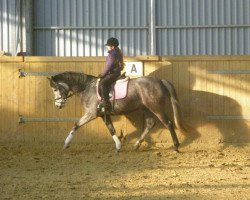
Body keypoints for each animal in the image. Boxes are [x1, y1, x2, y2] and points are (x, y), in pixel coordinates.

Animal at [48, 71, 186, 152]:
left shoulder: (91, 114)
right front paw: (118, 146)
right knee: (150, 123)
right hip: (145, 108)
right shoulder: (103, 115)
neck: (86, 87)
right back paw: (136, 145)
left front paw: (66, 143)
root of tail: (160, 81)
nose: (58, 105)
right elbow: (111, 129)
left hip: (156, 107)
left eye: (55, 89)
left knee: (168, 123)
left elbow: (76, 125)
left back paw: (176, 146)